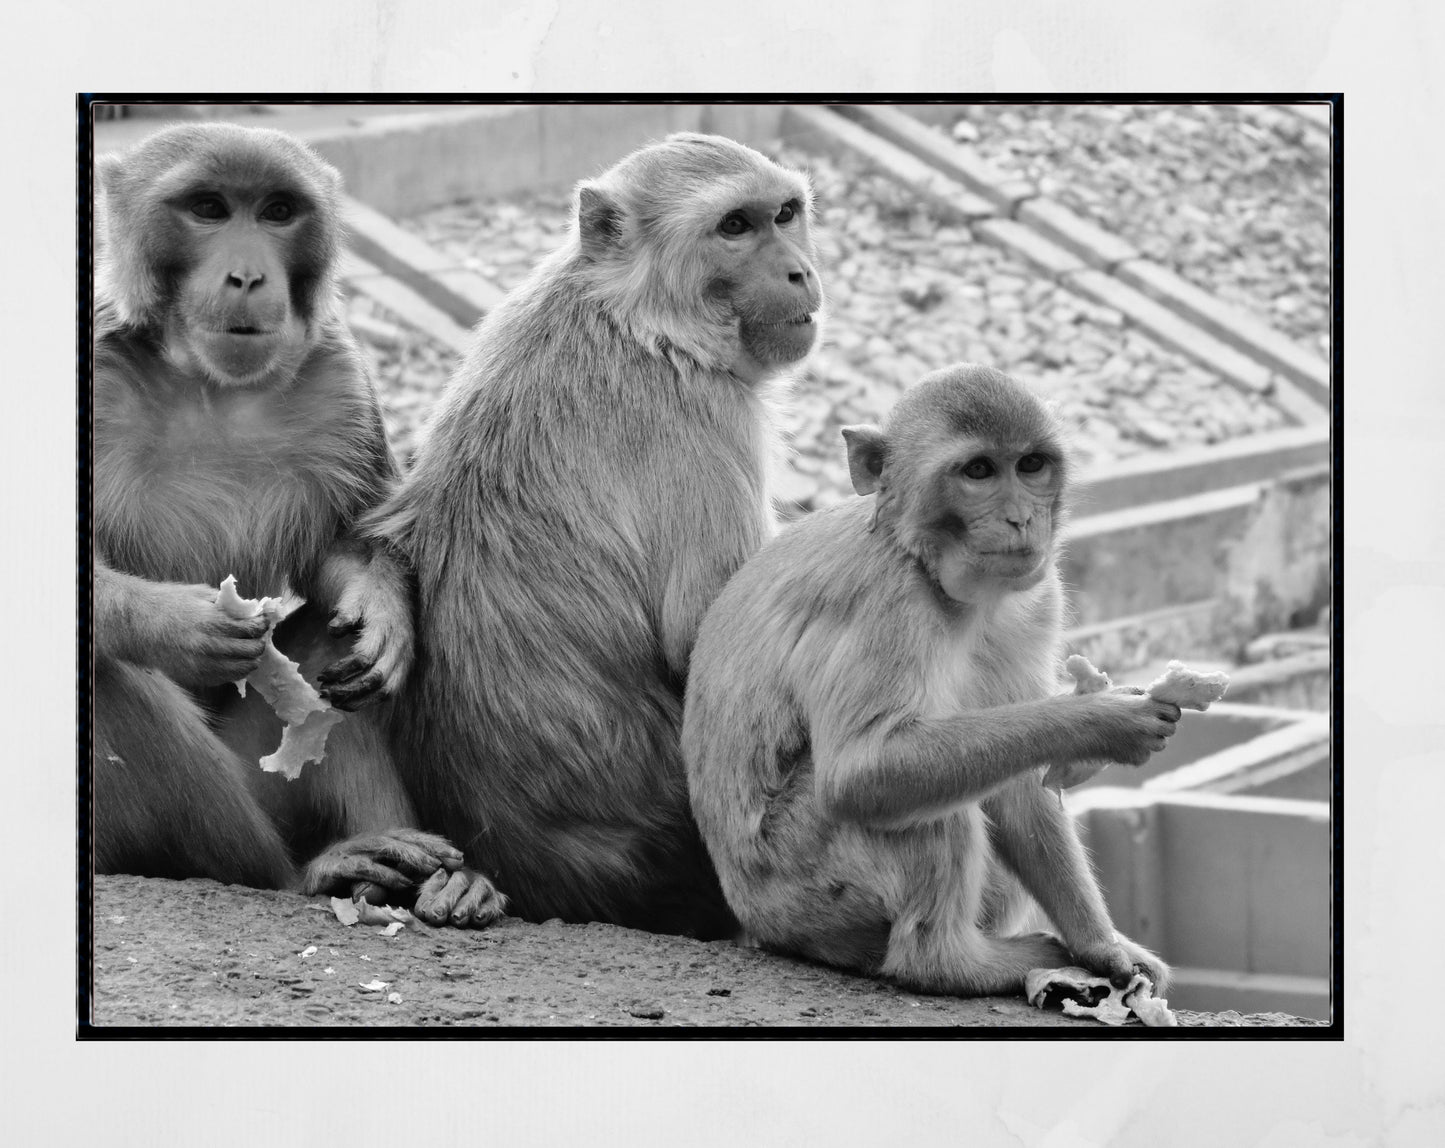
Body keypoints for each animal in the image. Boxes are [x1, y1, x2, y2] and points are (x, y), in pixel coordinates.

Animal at [91, 121, 503, 927]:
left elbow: (344, 548)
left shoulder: (337, 377)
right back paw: (302, 873)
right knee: (105, 674)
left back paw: (409, 867)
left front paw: (382, 616)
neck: (208, 384)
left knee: (321, 646)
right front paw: (182, 624)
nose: (249, 276)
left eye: (278, 211)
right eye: (209, 208)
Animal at [364, 133, 825, 936]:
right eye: (734, 226)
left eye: (785, 214)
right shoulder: (710, 418)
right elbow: (707, 644)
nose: (797, 269)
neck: (634, 314)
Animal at [682, 364, 1177, 996]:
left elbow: (1023, 788)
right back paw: (951, 962)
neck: (931, 566)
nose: (1021, 518)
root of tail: (755, 920)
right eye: (978, 471)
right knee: (916, 800)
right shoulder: (885, 600)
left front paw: (1103, 946)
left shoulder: (1040, 598)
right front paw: (1104, 721)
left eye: (1031, 465)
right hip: (802, 883)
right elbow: (862, 771)